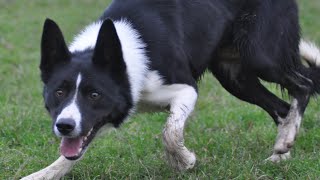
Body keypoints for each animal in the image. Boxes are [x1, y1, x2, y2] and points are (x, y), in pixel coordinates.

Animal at [22, 0, 320, 179]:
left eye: (95, 94)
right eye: (59, 92)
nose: (64, 126)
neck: (125, 53)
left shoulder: (185, 89)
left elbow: (170, 132)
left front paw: (184, 161)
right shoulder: (102, 116)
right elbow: (72, 152)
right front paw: (45, 173)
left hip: (260, 55)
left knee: (304, 86)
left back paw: (285, 141)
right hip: (234, 76)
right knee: (282, 108)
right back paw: (281, 153)